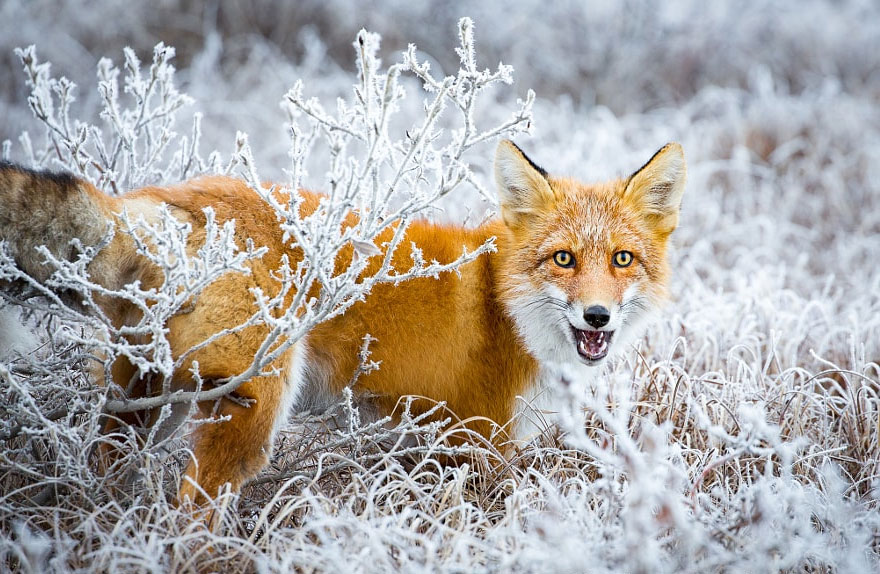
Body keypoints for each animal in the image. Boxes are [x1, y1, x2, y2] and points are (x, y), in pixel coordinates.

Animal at [0, 140, 686, 504]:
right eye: (563, 259)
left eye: (622, 259)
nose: (597, 314)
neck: (505, 309)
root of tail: (168, 199)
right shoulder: (474, 444)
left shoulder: (424, 445)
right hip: (250, 407)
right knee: (193, 509)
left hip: (150, 399)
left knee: (104, 471)